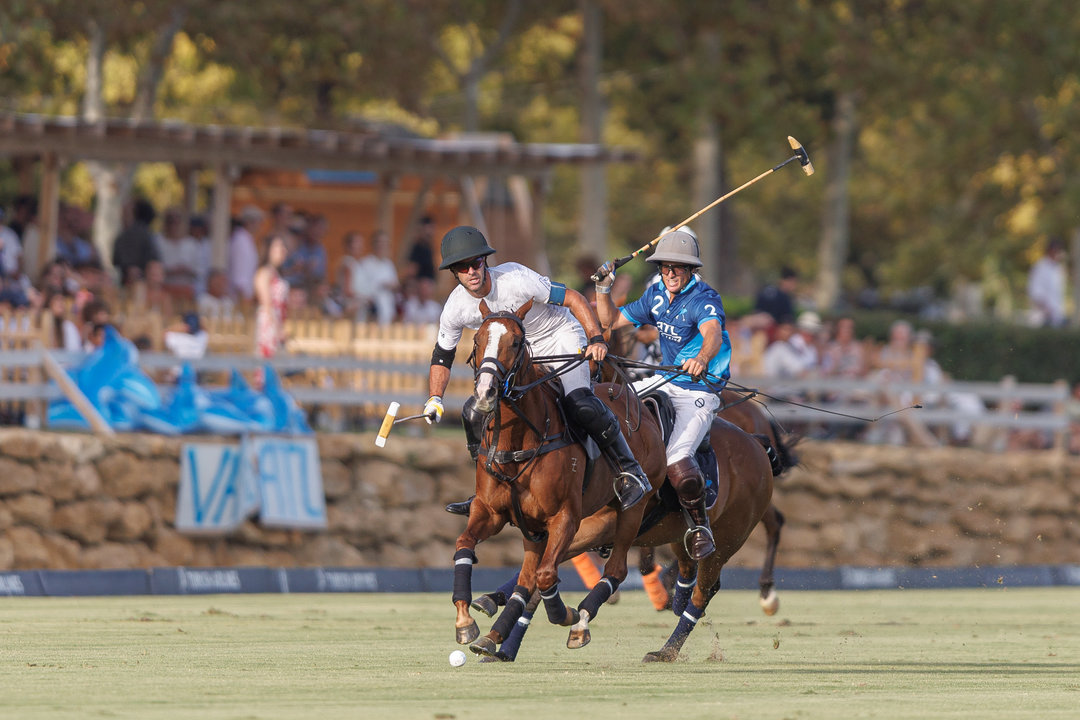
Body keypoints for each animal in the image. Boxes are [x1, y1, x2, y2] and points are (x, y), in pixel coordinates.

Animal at [447, 300, 665, 660]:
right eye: (477, 340)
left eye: (516, 342)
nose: (485, 393)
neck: (518, 439)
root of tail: (641, 407)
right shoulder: (491, 512)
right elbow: (464, 545)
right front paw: (465, 622)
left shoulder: (565, 517)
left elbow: (548, 575)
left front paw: (567, 614)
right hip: (535, 529)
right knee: (526, 577)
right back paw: (491, 637)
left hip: (631, 511)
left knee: (615, 569)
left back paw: (578, 623)